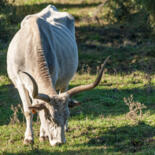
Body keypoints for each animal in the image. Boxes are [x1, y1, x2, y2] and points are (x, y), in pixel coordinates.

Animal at [6, 4, 109, 145]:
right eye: (49, 118)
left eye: (67, 116)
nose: (59, 142)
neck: (30, 49)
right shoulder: (19, 82)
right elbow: (29, 110)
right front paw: (28, 138)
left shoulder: (53, 78)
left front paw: (43, 135)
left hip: (65, 81)